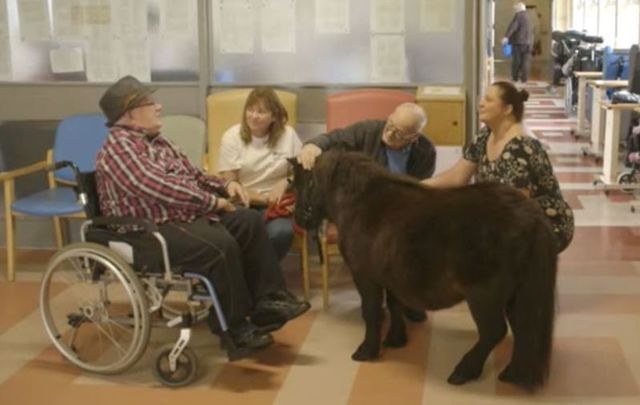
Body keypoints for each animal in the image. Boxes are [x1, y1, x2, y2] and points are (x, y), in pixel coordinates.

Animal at [288, 150, 556, 390]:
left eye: (300, 185)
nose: (299, 219)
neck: (359, 203)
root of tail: (531, 216)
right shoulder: (391, 277)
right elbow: (395, 305)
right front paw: (396, 339)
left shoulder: (365, 277)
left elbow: (371, 312)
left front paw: (367, 350)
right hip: (517, 295)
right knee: (522, 330)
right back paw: (511, 373)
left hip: (484, 298)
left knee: (494, 332)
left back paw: (464, 371)